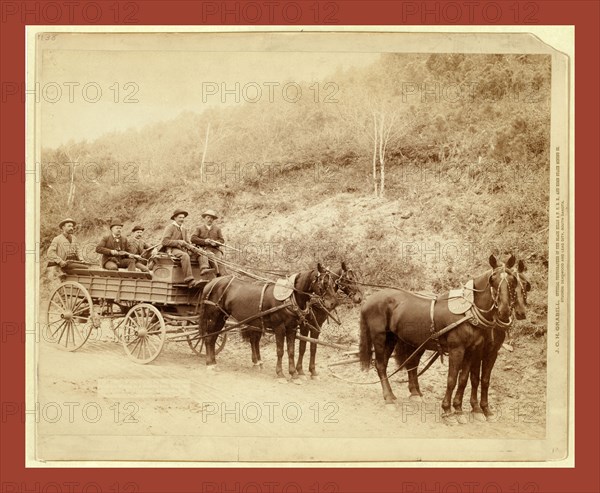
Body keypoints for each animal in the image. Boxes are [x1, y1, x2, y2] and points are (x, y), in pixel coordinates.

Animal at [200, 264, 338, 378]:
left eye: (334, 283)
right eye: (324, 282)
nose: (333, 303)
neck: (289, 298)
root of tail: (210, 283)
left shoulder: (292, 328)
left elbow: (292, 351)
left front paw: (293, 373)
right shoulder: (279, 328)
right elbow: (280, 351)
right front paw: (281, 373)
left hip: (221, 319)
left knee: (214, 338)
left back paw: (214, 361)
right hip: (213, 317)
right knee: (209, 338)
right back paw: (209, 363)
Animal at [356, 256, 520, 420]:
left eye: (513, 280)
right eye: (493, 280)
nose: (505, 311)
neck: (468, 313)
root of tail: (368, 301)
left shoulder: (473, 350)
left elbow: (464, 379)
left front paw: (459, 409)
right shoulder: (457, 350)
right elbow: (452, 379)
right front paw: (448, 410)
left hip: (397, 339)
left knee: (402, 364)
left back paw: (406, 395)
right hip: (380, 338)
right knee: (381, 365)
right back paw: (389, 398)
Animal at [452, 256, 532, 420]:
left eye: (525, 284)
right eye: (492, 280)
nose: (520, 312)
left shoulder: (492, 352)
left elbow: (485, 379)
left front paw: (485, 408)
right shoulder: (478, 352)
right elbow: (474, 378)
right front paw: (475, 408)